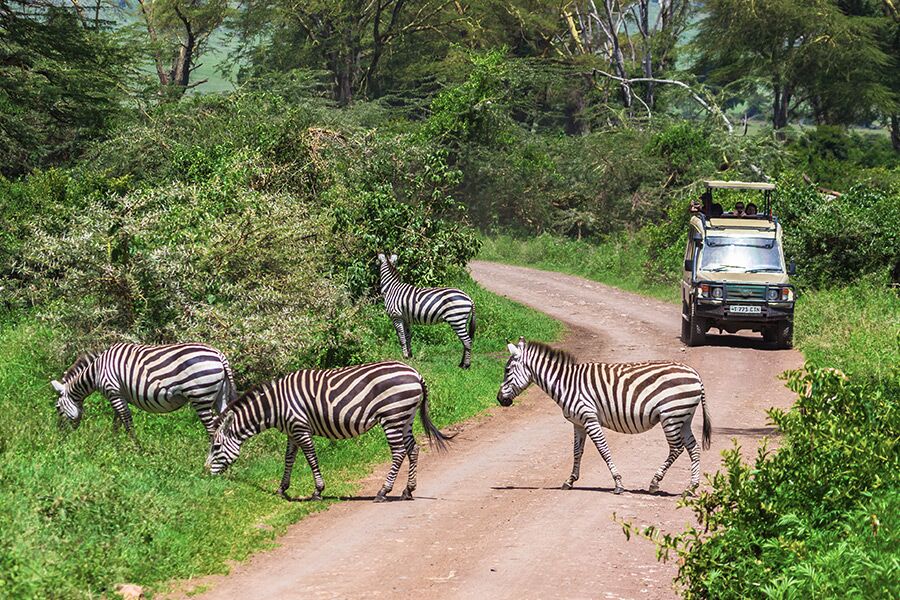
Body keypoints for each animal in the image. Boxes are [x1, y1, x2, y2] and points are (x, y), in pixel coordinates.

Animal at [51, 342, 237, 443]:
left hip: (201, 397)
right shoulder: (119, 394)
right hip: (220, 396)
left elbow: (126, 421)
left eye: (57, 408)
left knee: (213, 429)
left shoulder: (113, 392)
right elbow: (117, 421)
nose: (59, 435)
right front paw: (114, 443)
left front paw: (136, 449)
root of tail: (219, 355)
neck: (97, 370)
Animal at [205, 360, 451, 502]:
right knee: (413, 449)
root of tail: (416, 374)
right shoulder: (292, 432)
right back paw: (408, 490)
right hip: (404, 417)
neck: (276, 406)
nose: (206, 474)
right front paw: (282, 489)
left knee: (399, 452)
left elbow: (311, 458)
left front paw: (318, 491)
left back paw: (383, 492)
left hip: (392, 416)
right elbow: (288, 459)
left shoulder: (301, 428)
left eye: (216, 447)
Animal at [496, 338, 711, 495]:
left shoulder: (590, 419)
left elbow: (603, 450)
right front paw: (570, 481)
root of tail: (696, 375)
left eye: (506, 370)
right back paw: (691, 487)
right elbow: (577, 451)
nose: (499, 399)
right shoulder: (578, 423)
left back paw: (654, 483)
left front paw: (618, 483)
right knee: (693, 447)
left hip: (671, 416)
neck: (565, 383)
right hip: (684, 417)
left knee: (677, 448)